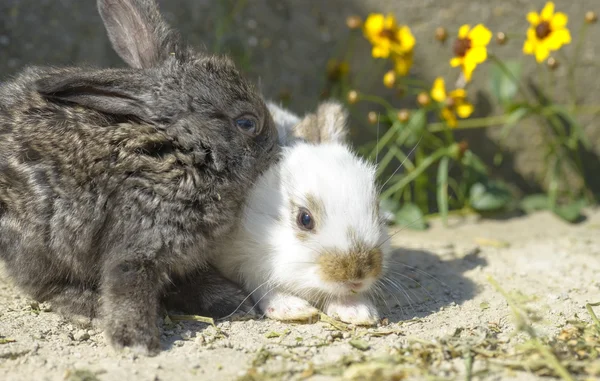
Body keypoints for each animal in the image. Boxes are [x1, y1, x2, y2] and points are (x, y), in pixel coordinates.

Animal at [0, 0, 280, 354]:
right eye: (247, 123)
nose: (276, 147)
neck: (183, 152)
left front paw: (233, 301)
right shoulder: (142, 237)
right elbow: (128, 285)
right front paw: (136, 343)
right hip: (41, 237)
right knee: (41, 284)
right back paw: (87, 307)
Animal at [211, 100, 390, 324]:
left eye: (376, 207)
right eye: (305, 219)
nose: (358, 276)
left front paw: (358, 310)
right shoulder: (244, 262)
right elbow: (264, 286)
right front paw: (293, 309)